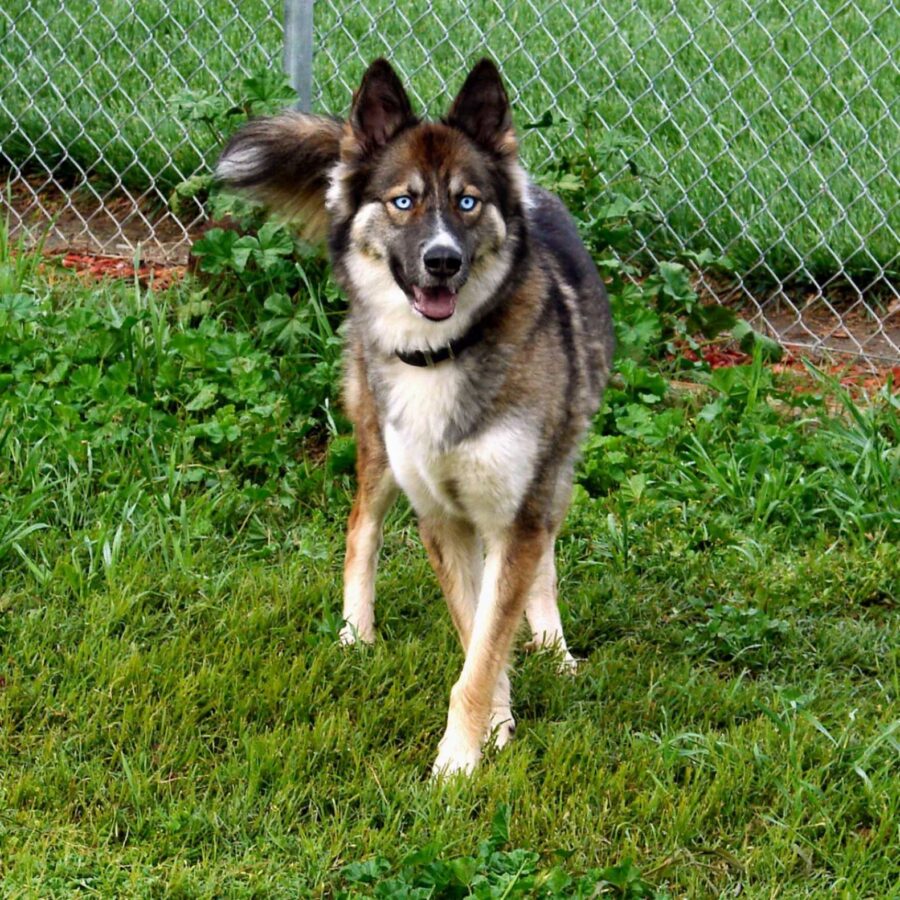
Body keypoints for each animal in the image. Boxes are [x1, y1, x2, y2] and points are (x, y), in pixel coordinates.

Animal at [217, 58, 612, 772]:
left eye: (467, 201)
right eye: (403, 201)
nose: (443, 259)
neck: (442, 355)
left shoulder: (514, 509)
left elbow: (486, 642)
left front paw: (461, 758)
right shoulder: (440, 518)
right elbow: (475, 636)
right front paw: (489, 735)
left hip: (557, 467)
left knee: (544, 555)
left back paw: (553, 647)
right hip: (379, 448)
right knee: (360, 528)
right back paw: (356, 634)